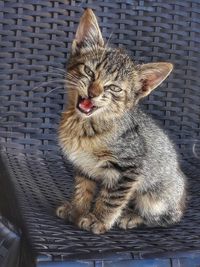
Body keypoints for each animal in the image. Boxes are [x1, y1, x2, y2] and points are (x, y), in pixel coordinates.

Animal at [56, 8, 186, 234]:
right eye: (89, 72)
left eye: (114, 88)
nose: (93, 92)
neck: (84, 125)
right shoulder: (83, 166)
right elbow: (83, 189)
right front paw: (78, 209)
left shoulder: (129, 168)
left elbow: (111, 199)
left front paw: (98, 219)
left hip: (155, 199)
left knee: (167, 217)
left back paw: (132, 216)